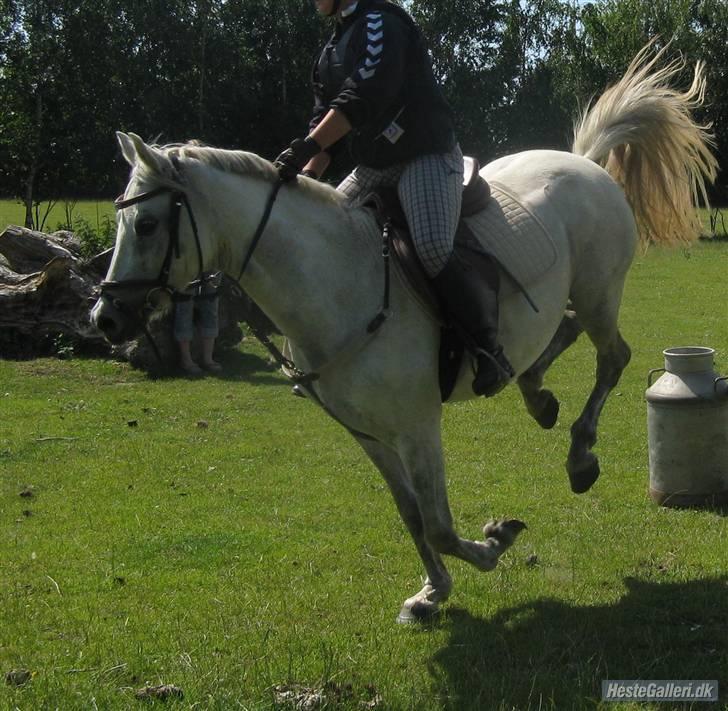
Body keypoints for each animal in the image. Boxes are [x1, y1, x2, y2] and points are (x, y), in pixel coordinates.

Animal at [91, 43, 716, 622]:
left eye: (146, 224)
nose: (106, 319)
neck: (337, 279)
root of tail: (586, 163)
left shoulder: (417, 427)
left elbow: (438, 523)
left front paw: (492, 545)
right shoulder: (369, 434)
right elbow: (413, 515)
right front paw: (432, 592)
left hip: (597, 294)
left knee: (613, 356)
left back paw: (581, 456)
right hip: (568, 305)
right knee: (554, 337)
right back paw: (536, 394)